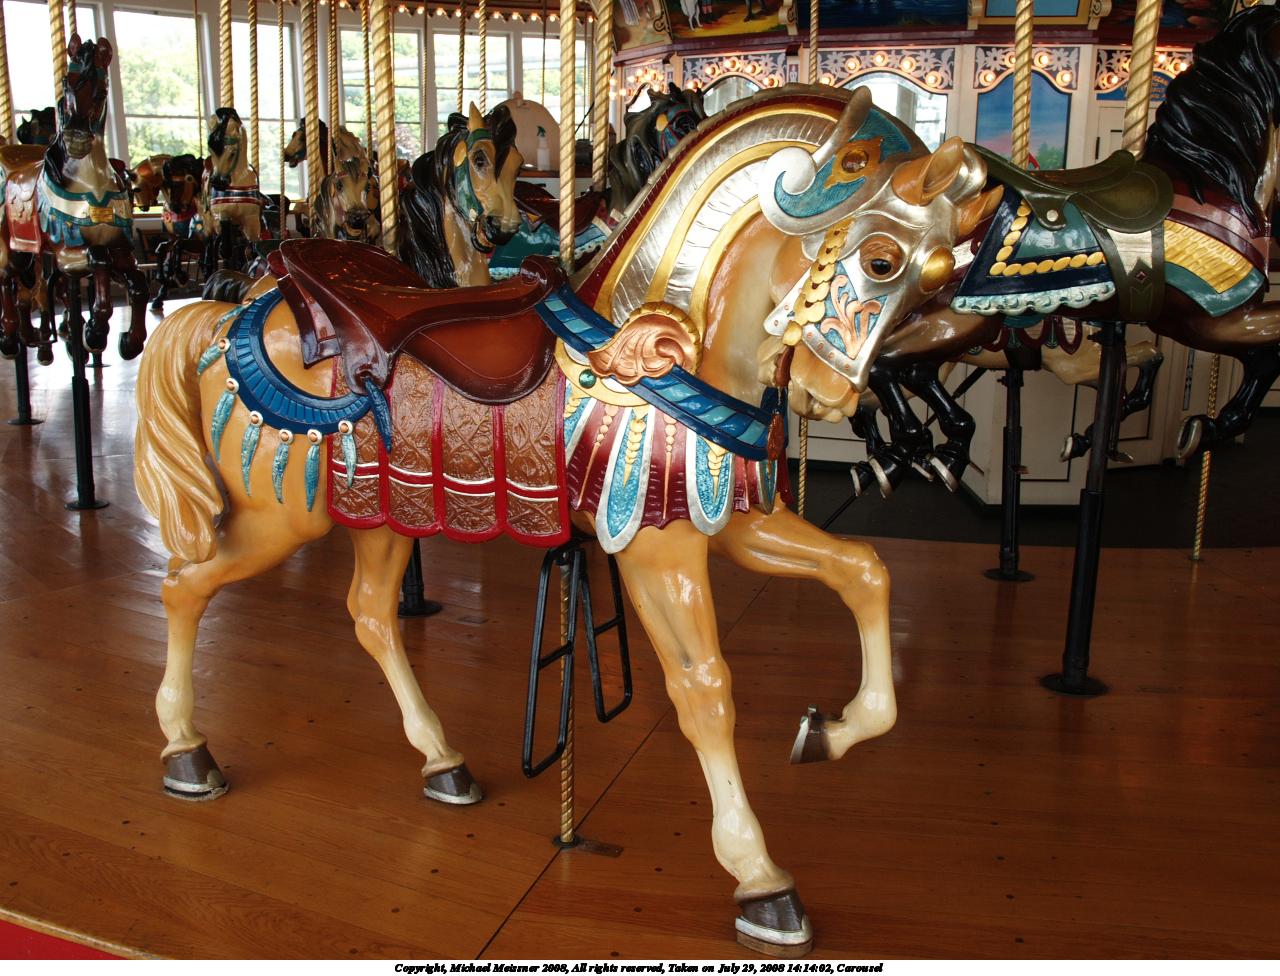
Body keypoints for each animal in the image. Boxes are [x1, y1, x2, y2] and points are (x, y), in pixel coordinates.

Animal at [0, 35, 147, 363]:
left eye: (101, 91)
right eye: (66, 83)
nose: (75, 138)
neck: (92, 184)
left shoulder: (121, 249)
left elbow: (138, 285)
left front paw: (129, 341)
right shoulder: (68, 253)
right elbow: (97, 261)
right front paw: (94, 332)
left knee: (31, 289)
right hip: (14, 250)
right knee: (9, 282)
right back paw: (13, 339)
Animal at [133, 85, 916, 954]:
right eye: (884, 259)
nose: (833, 397)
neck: (658, 345)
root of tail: (226, 315)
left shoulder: (732, 519)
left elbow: (864, 570)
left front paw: (832, 731)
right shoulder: (657, 551)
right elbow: (704, 687)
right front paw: (762, 881)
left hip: (379, 511)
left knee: (368, 614)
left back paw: (444, 763)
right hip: (285, 517)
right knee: (183, 585)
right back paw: (186, 755)